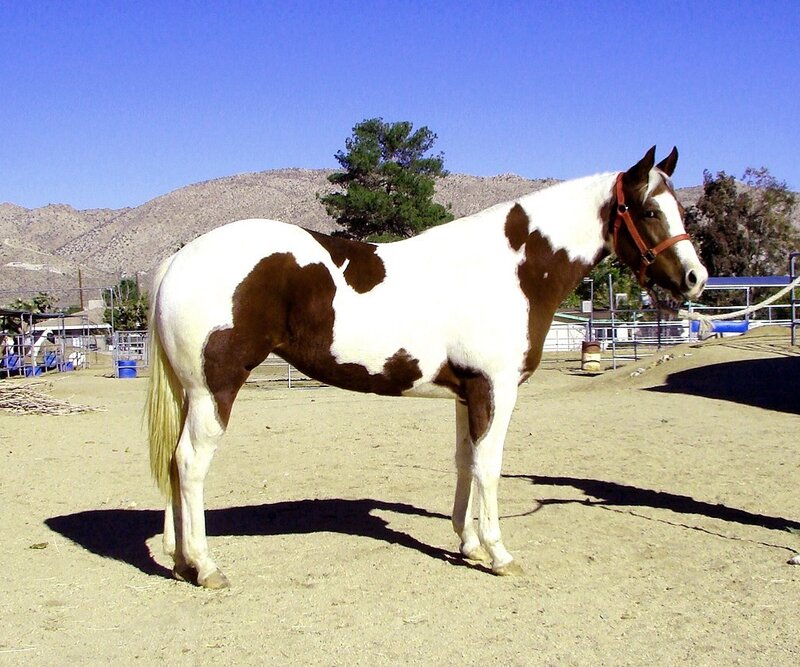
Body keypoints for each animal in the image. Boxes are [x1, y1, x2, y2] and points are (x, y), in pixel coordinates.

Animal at [147, 146, 707, 588]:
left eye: (680, 208)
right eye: (648, 210)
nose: (696, 278)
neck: (512, 268)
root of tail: (178, 261)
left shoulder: (467, 393)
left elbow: (465, 463)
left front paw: (468, 544)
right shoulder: (495, 389)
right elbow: (489, 467)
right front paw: (498, 553)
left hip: (191, 395)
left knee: (173, 463)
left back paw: (179, 560)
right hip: (214, 392)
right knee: (191, 464)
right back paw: (206, 566)